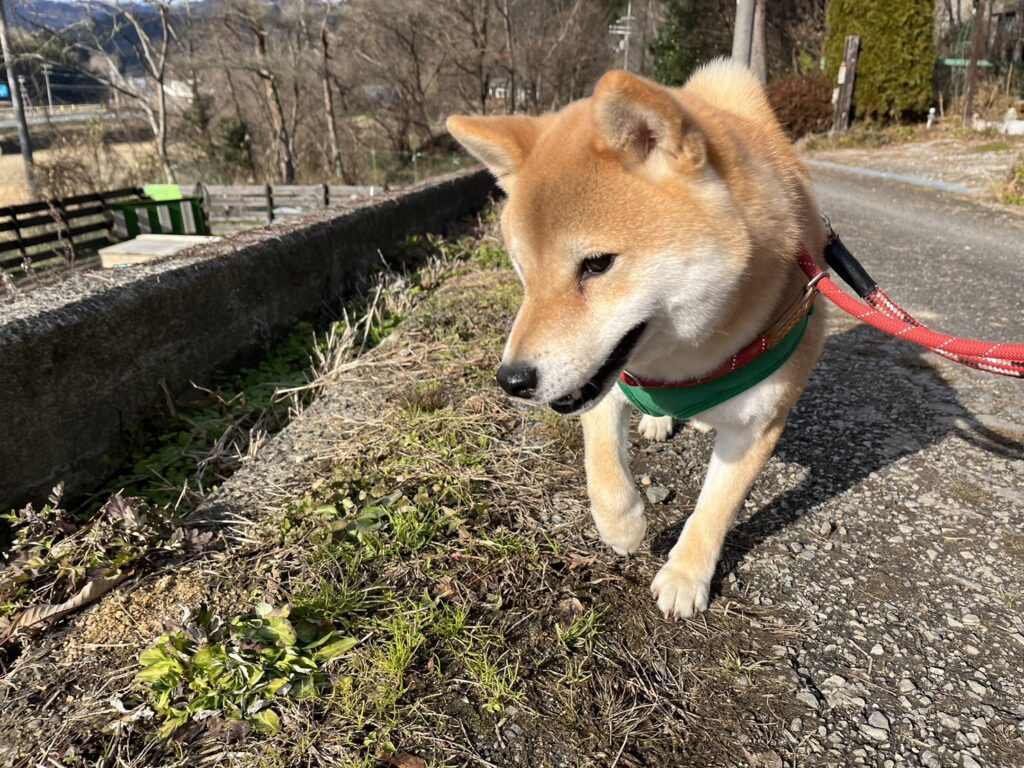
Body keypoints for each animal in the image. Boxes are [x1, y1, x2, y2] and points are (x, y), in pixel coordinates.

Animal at [446, 60, 827, 619]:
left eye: (597, 264)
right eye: (523, 270)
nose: (511, 380)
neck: (690, 358)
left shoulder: (759, 424)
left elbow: (714, 510)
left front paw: (686, 576)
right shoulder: (606, 380)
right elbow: (602, 465)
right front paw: (622, 526)